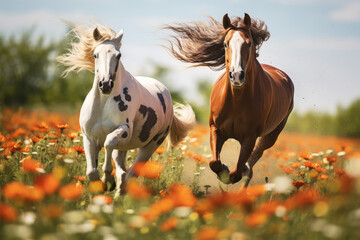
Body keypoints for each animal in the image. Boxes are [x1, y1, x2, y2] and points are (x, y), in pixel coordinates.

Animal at [57, 21, 195, 196]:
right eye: (95, 55)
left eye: (118, 55)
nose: (106, 84)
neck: (103, 104)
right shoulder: (88, 137)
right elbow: (91, 171)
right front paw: (102, 185)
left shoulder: (124, 131)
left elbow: (109, 143)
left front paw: (107, 180)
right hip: (123, 149)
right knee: (123, 172)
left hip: (150, 146)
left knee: (131, 174)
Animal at [166, 13, 296, 186]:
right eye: (225, 44)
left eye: (248, 43)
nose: (236, 75)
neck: (236, 101)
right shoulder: (215, 128)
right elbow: (214, 162)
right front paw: (223, 170)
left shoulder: (250, 137)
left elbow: (237, 172)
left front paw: (230, 172)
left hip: (272, 135)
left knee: (253, 163)